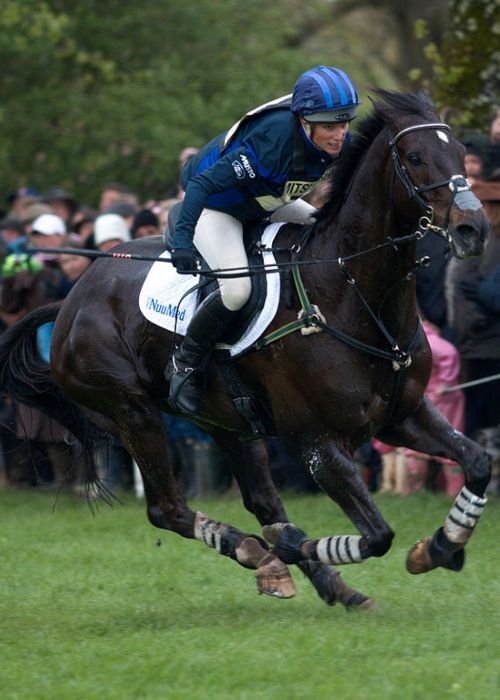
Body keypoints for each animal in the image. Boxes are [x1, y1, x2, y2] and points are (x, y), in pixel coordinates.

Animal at [0, 90, 492, 608]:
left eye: (462, 152)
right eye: (415, 157)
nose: (474, 229)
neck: (350, 289)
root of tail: (71, 298)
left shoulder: (402, 417)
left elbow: (478, 463)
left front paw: (440, 546)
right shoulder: (317, 443)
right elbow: (378, 535)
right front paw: (297, 546)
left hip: (226, 422)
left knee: (262, 501)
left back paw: (316, 579)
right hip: (132, 411)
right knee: (169, 509)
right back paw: (259, 553)